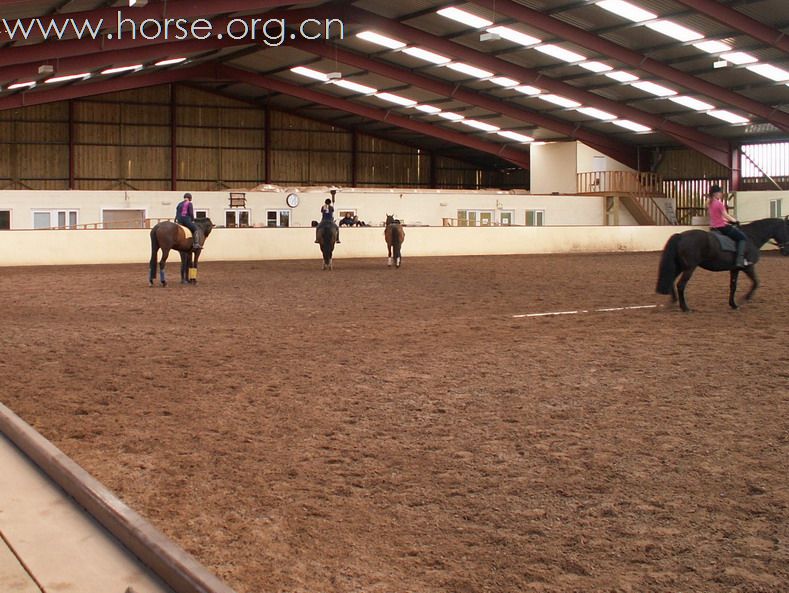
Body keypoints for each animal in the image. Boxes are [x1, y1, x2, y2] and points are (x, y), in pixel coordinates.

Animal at [652, 216, 788, 310]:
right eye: (787, 230)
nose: (786, 251)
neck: (752, 236)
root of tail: (680, 235)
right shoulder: (748, 267)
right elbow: (756, 282)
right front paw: (745, 299)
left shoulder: (735, 269)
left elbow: (733, 286)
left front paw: (733, 304)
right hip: (689, 268)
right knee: (680, 285)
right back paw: (685, 308)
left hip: (680, 266)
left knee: (671, 280)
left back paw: (673, 302)